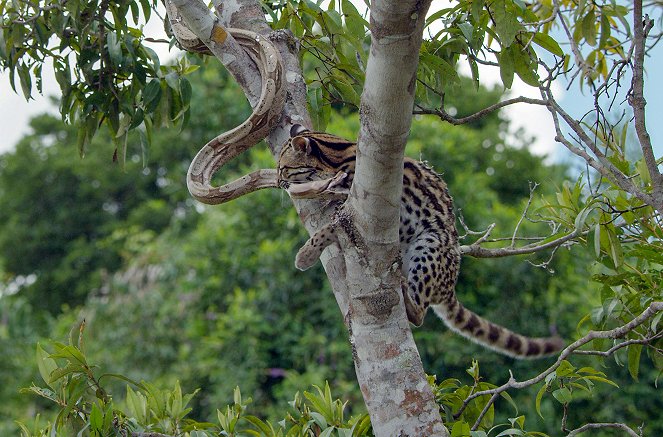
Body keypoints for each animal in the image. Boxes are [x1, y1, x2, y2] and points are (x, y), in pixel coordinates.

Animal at [278, 124, 564, 356]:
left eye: (284, 169)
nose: (279, 182)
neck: (337, 160)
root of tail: (448, 287)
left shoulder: (362, 207)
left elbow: (330, 227)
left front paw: (306, 254)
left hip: (429, 245)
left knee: (420, 314)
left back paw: (406, 295)